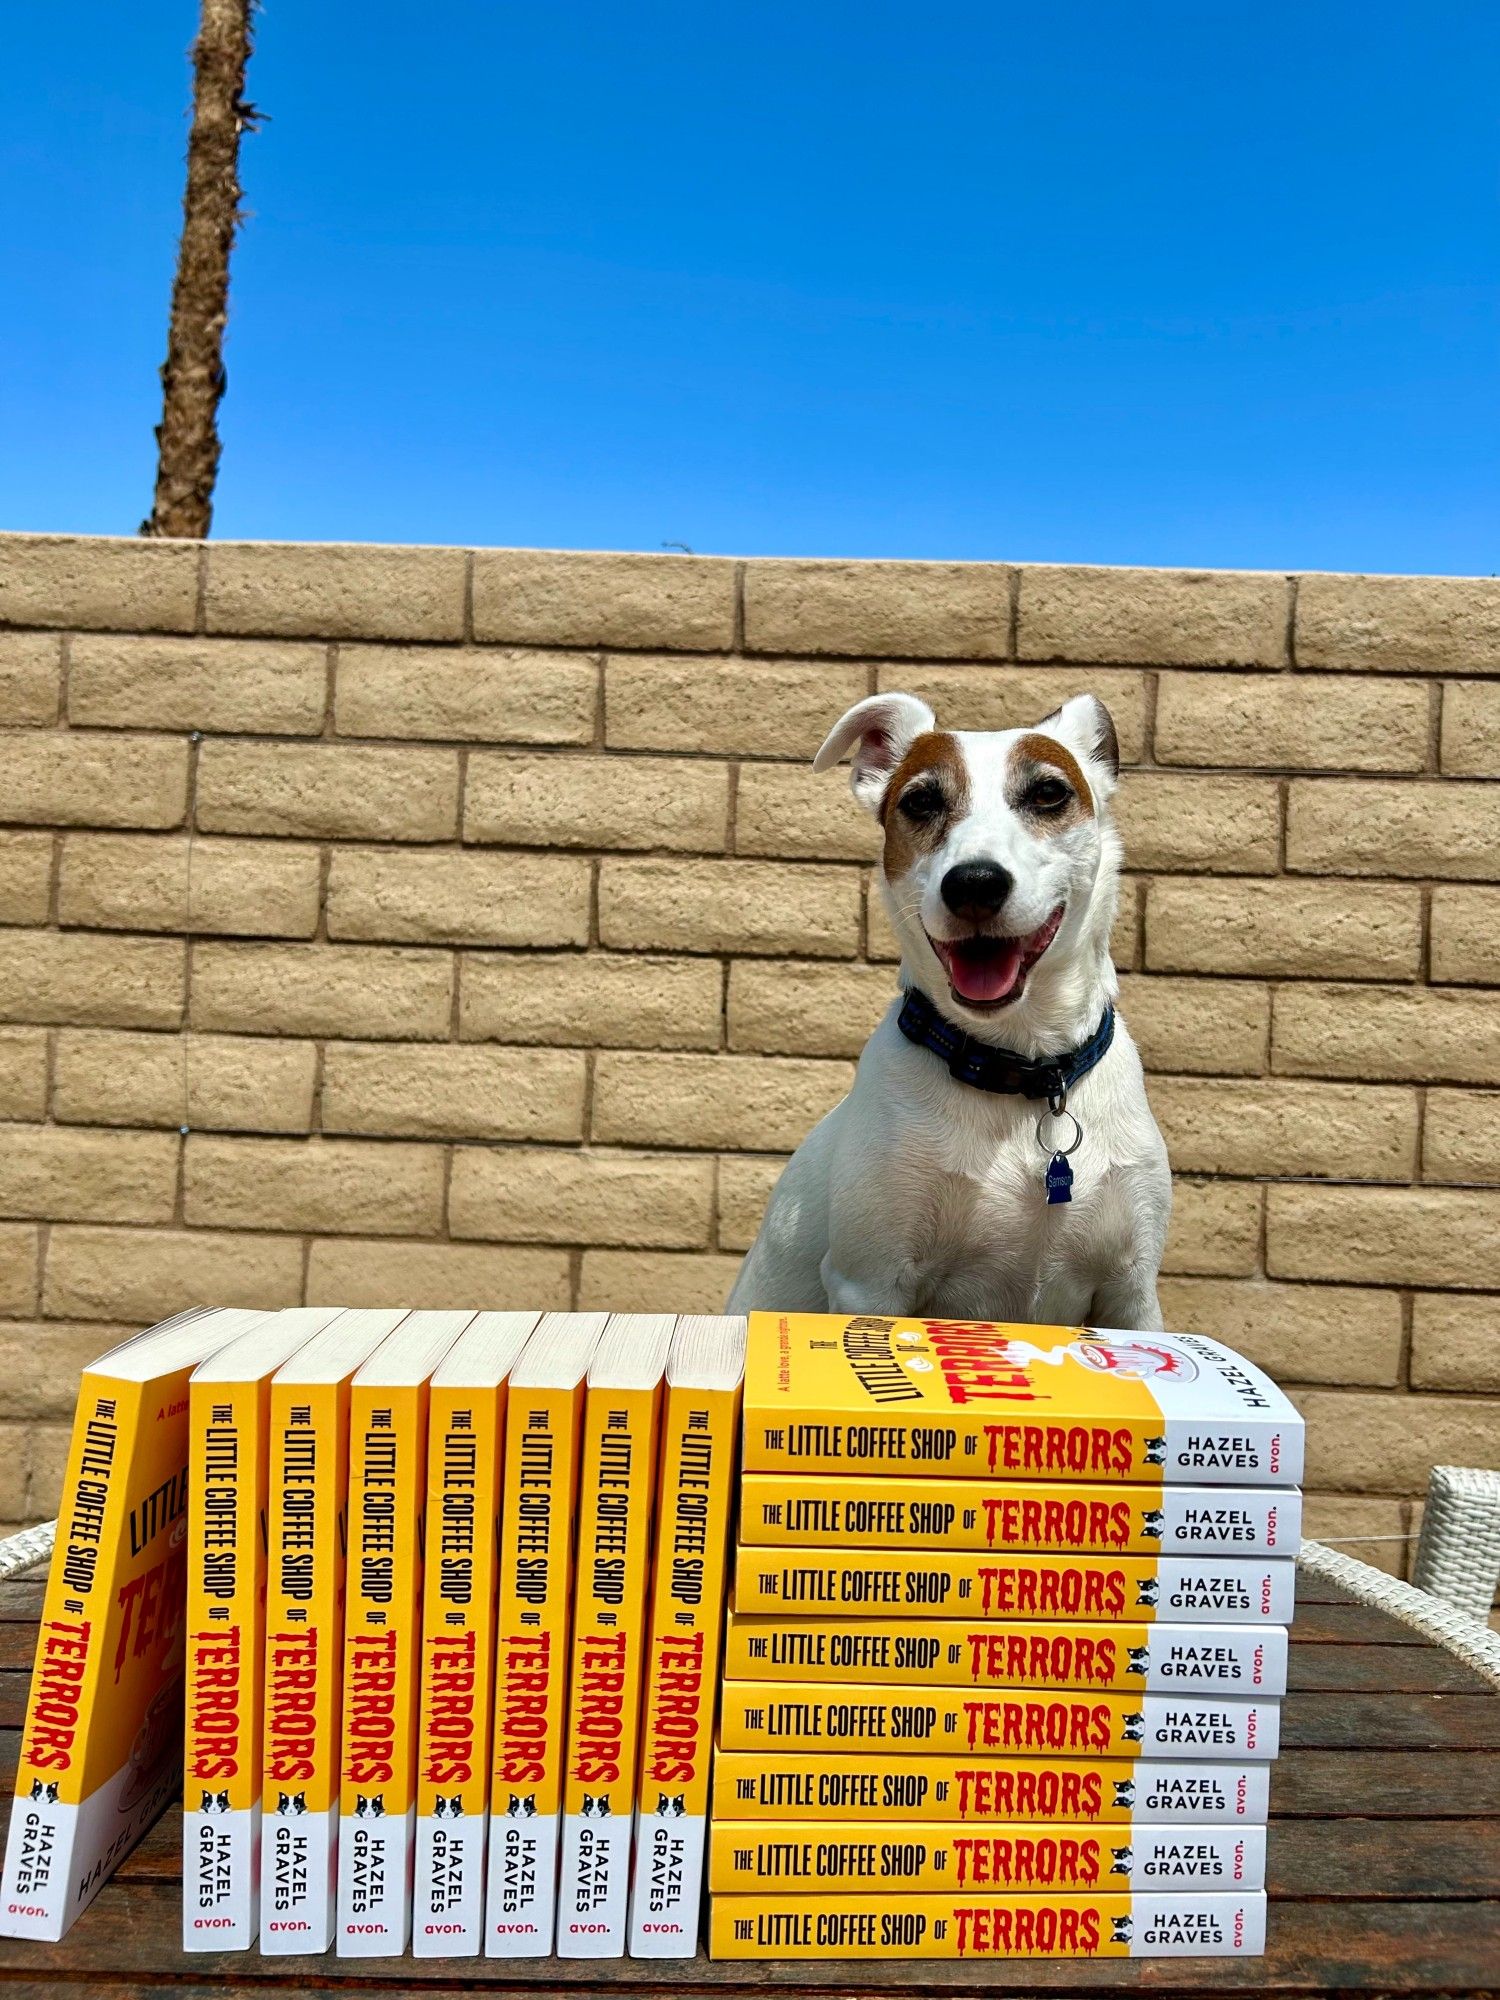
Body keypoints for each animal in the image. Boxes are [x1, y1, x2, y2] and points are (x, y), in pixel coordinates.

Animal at [728, 696, 1176, 1336]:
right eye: (920, 801)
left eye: (1048, 793)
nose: (975, 883)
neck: (1019, 1070)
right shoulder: (872, 1282)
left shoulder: (1131, 1293)